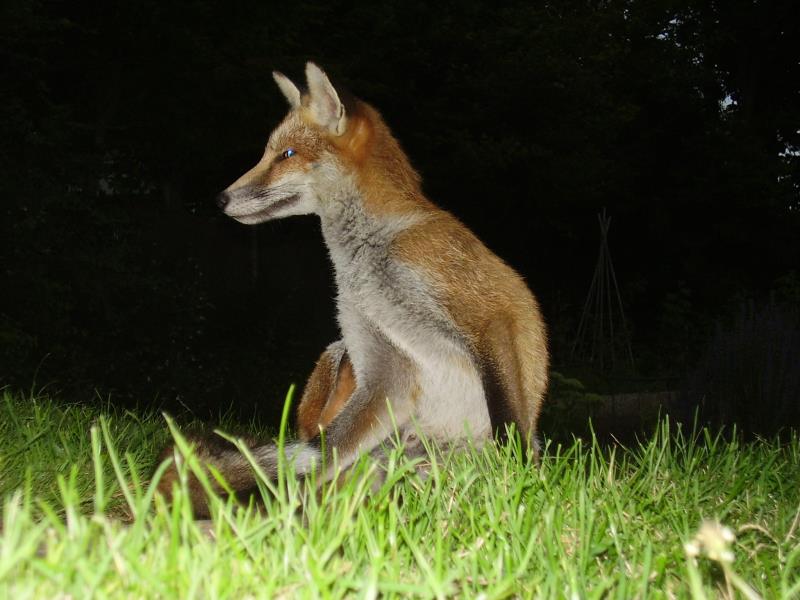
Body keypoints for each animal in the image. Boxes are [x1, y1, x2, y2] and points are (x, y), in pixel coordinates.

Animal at [156, 62, 548, 516]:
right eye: (269, 153)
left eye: (286, 155)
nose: (220, 199)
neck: (368, 263)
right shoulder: (386, 364)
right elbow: (323, 455)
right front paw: (276, 508)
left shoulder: (488, 312)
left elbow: (511, 426)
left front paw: (520, 482)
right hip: (340, 355)